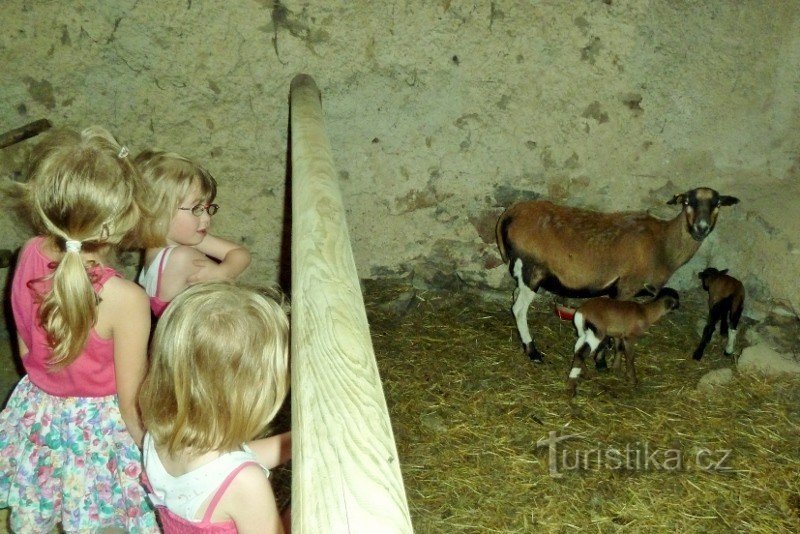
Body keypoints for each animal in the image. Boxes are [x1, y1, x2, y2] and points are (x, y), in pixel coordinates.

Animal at [496, 187, 740, 364]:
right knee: (519, 309)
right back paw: (533, 352)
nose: (701, 228)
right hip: (532, 270)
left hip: (523, 272)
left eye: (718, 204)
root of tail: (511, 213)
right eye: (687, 202)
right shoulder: (626, 287)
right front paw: (604, 360)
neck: (663, 244)